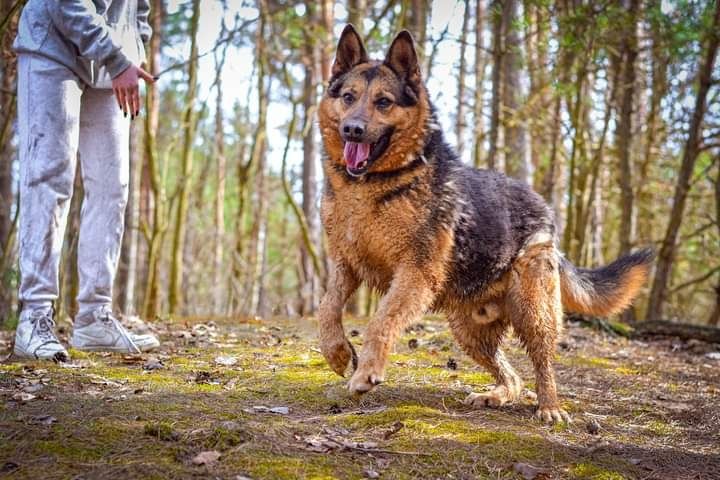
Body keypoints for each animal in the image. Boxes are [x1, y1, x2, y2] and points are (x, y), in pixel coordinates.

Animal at [316, 25, 652, 424]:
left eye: (383, 102)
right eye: (348, 97)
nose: (352, 130)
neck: (373, 186)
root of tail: (543, 207)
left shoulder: (414, 274)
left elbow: (381, 320)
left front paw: (367, 371)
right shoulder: (344, 266)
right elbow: (326, 309)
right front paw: (338, 353)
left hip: (535, 313)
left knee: (543, 362)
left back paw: (550, 406)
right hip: (469, 331)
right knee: (513, 375)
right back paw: (496, 395)